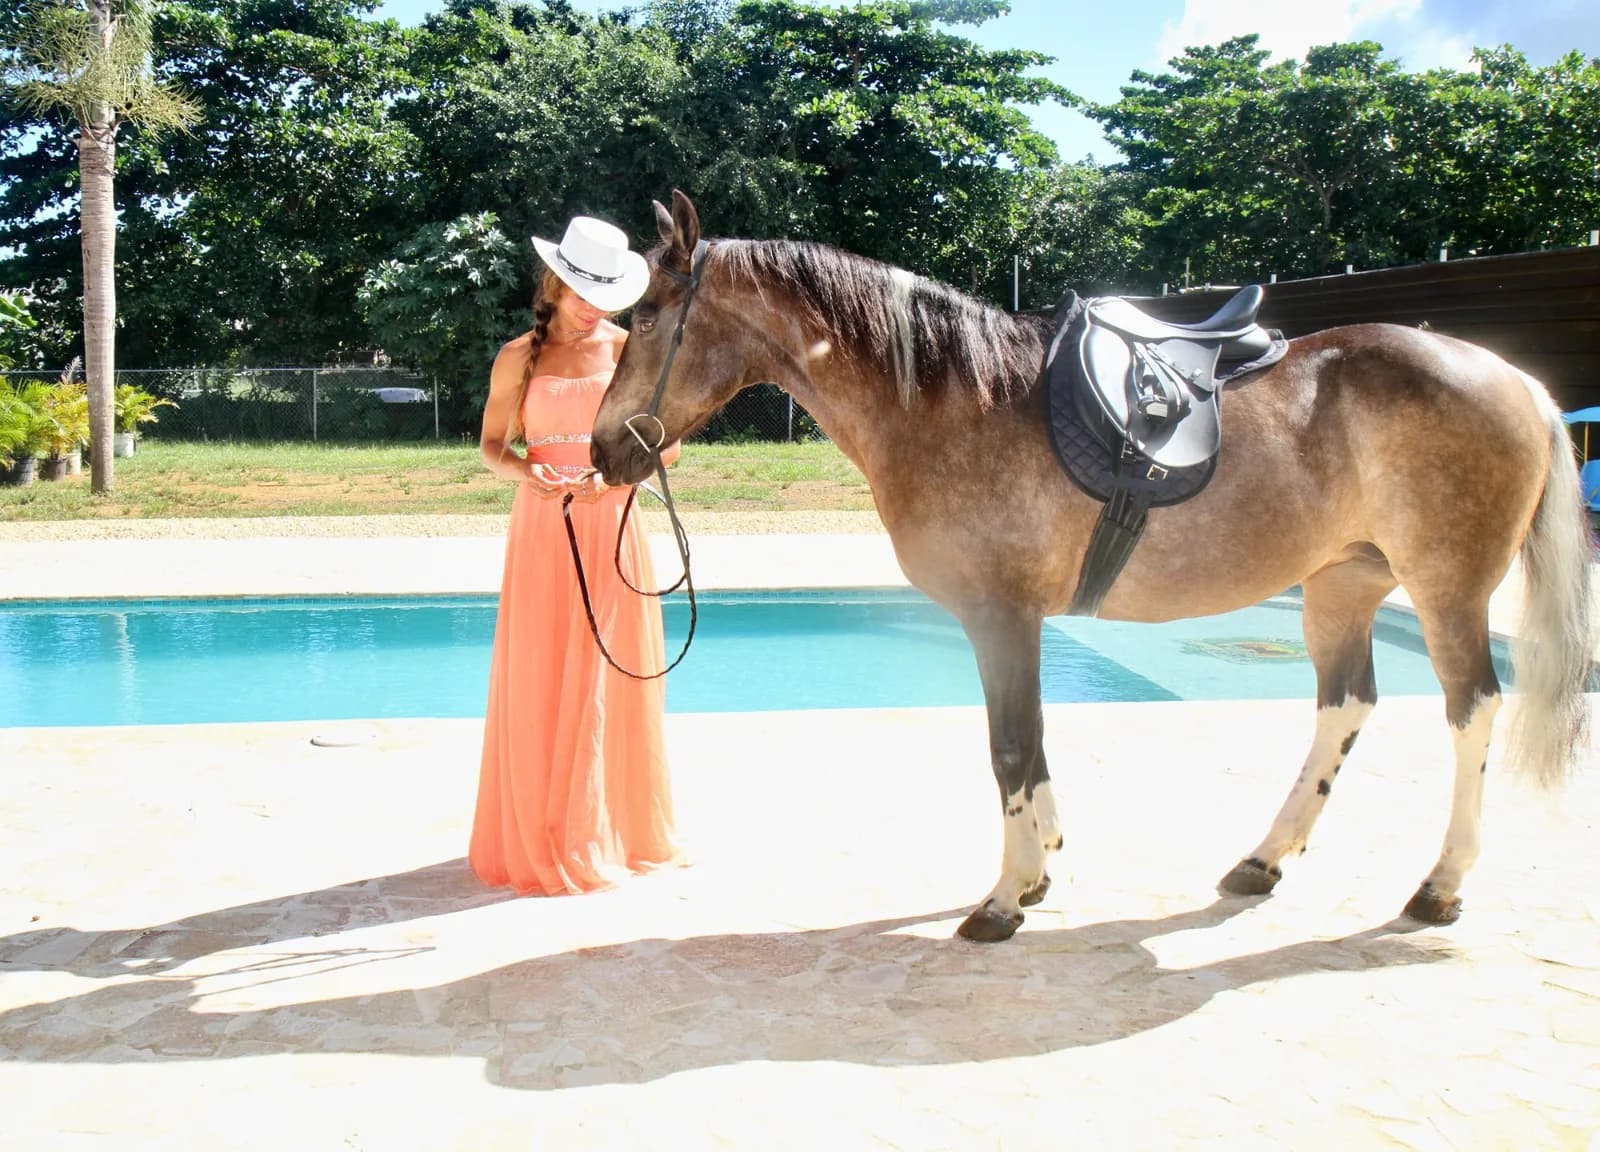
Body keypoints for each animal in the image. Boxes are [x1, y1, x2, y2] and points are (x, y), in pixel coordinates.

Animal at [590, 190, 1595, 943]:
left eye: (647, 317)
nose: (603, 450)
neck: (951, 402)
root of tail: (1511, 375)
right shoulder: (1016, 623)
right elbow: (1030, 748)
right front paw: (1039, 873)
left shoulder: (1001, 618)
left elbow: (1009, 745)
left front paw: (1004, 898)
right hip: (1342, 584)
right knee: (1345, 707)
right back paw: (1264, 860)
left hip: (1446, 589)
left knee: (1472, 708)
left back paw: (1441, 884)